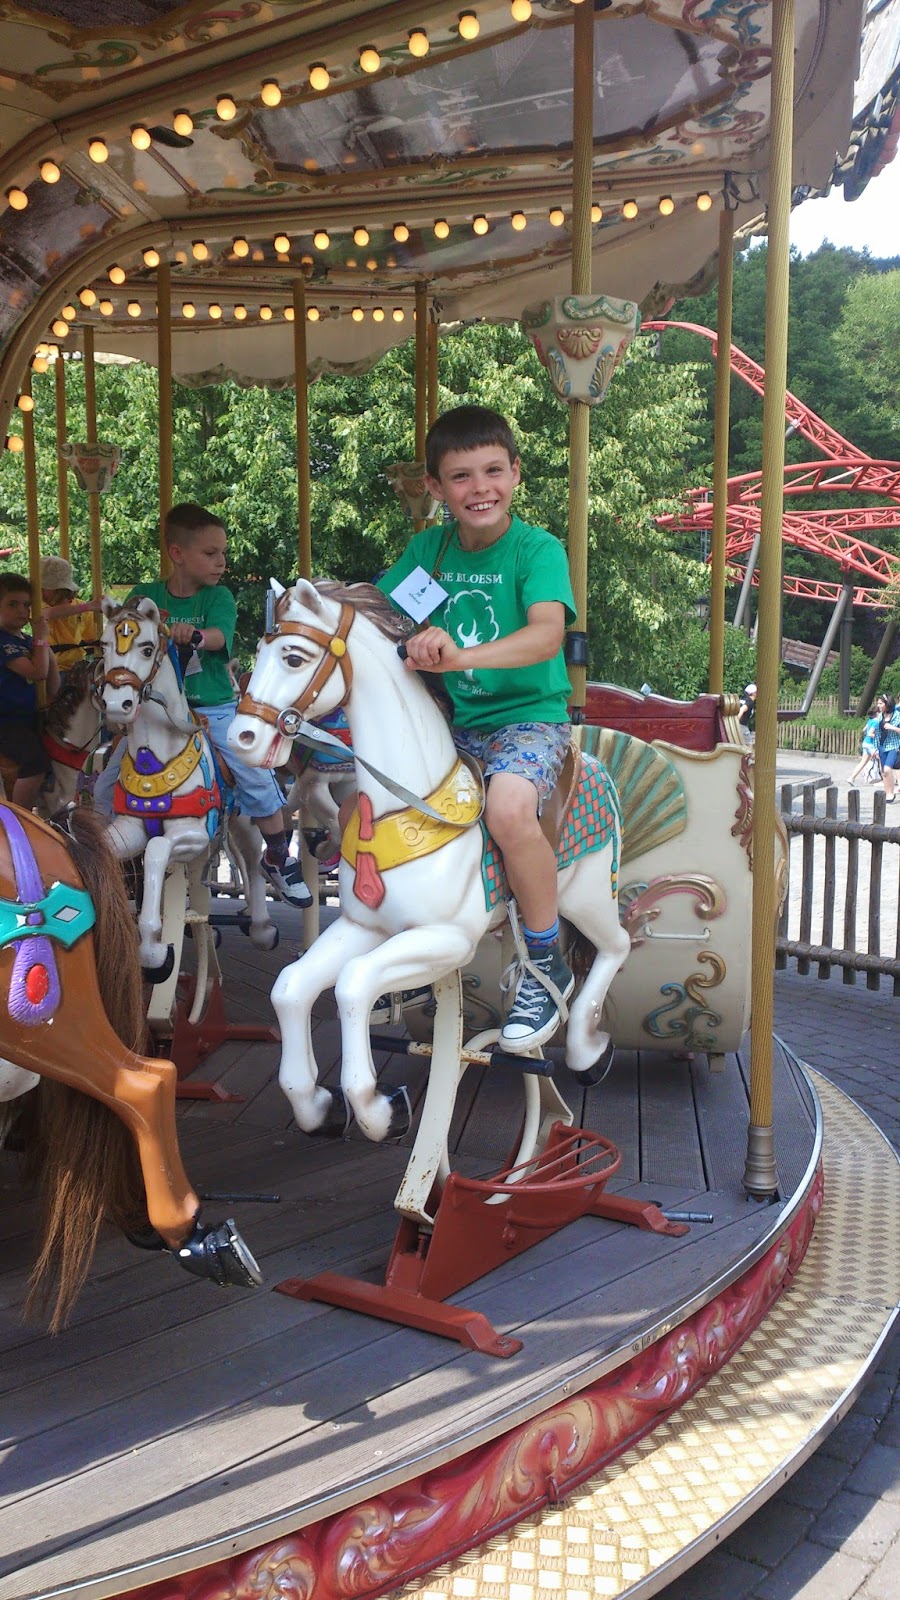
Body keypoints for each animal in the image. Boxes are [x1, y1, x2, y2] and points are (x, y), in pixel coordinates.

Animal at [228, 579, 636, 1145]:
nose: (241, 739)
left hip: (590, 890)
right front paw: (317, 1105)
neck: (406, 804)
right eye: (256, 652)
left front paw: (381, 1109)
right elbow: (291, 987)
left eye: (292, 656)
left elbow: (353, 983)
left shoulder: (447, 940)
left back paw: (583, 1047)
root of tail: (591, 762)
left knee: (614, 946)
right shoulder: (364, 926)